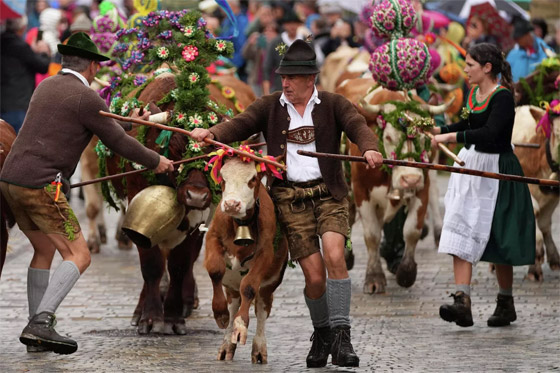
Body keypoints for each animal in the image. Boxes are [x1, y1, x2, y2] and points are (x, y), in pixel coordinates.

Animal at [203, 155, 286, 362]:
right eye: (222, 177)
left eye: (253, 179)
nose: (231, 204)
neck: (239, 224)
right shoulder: (212, 237)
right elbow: (215, 270)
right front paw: (220, 313)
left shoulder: (265, 252)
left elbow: (248, 287)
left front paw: (241, 326)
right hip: (231, 288)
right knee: (234, 305)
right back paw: (226, 345)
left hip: (269, 286)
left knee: (261, 309)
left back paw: (258, 349)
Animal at [512, 104, 560, 280]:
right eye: (557, 133)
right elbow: (534, 213)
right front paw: (536, 260)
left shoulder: (554, 196)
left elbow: (545, 222)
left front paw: (554, 258)